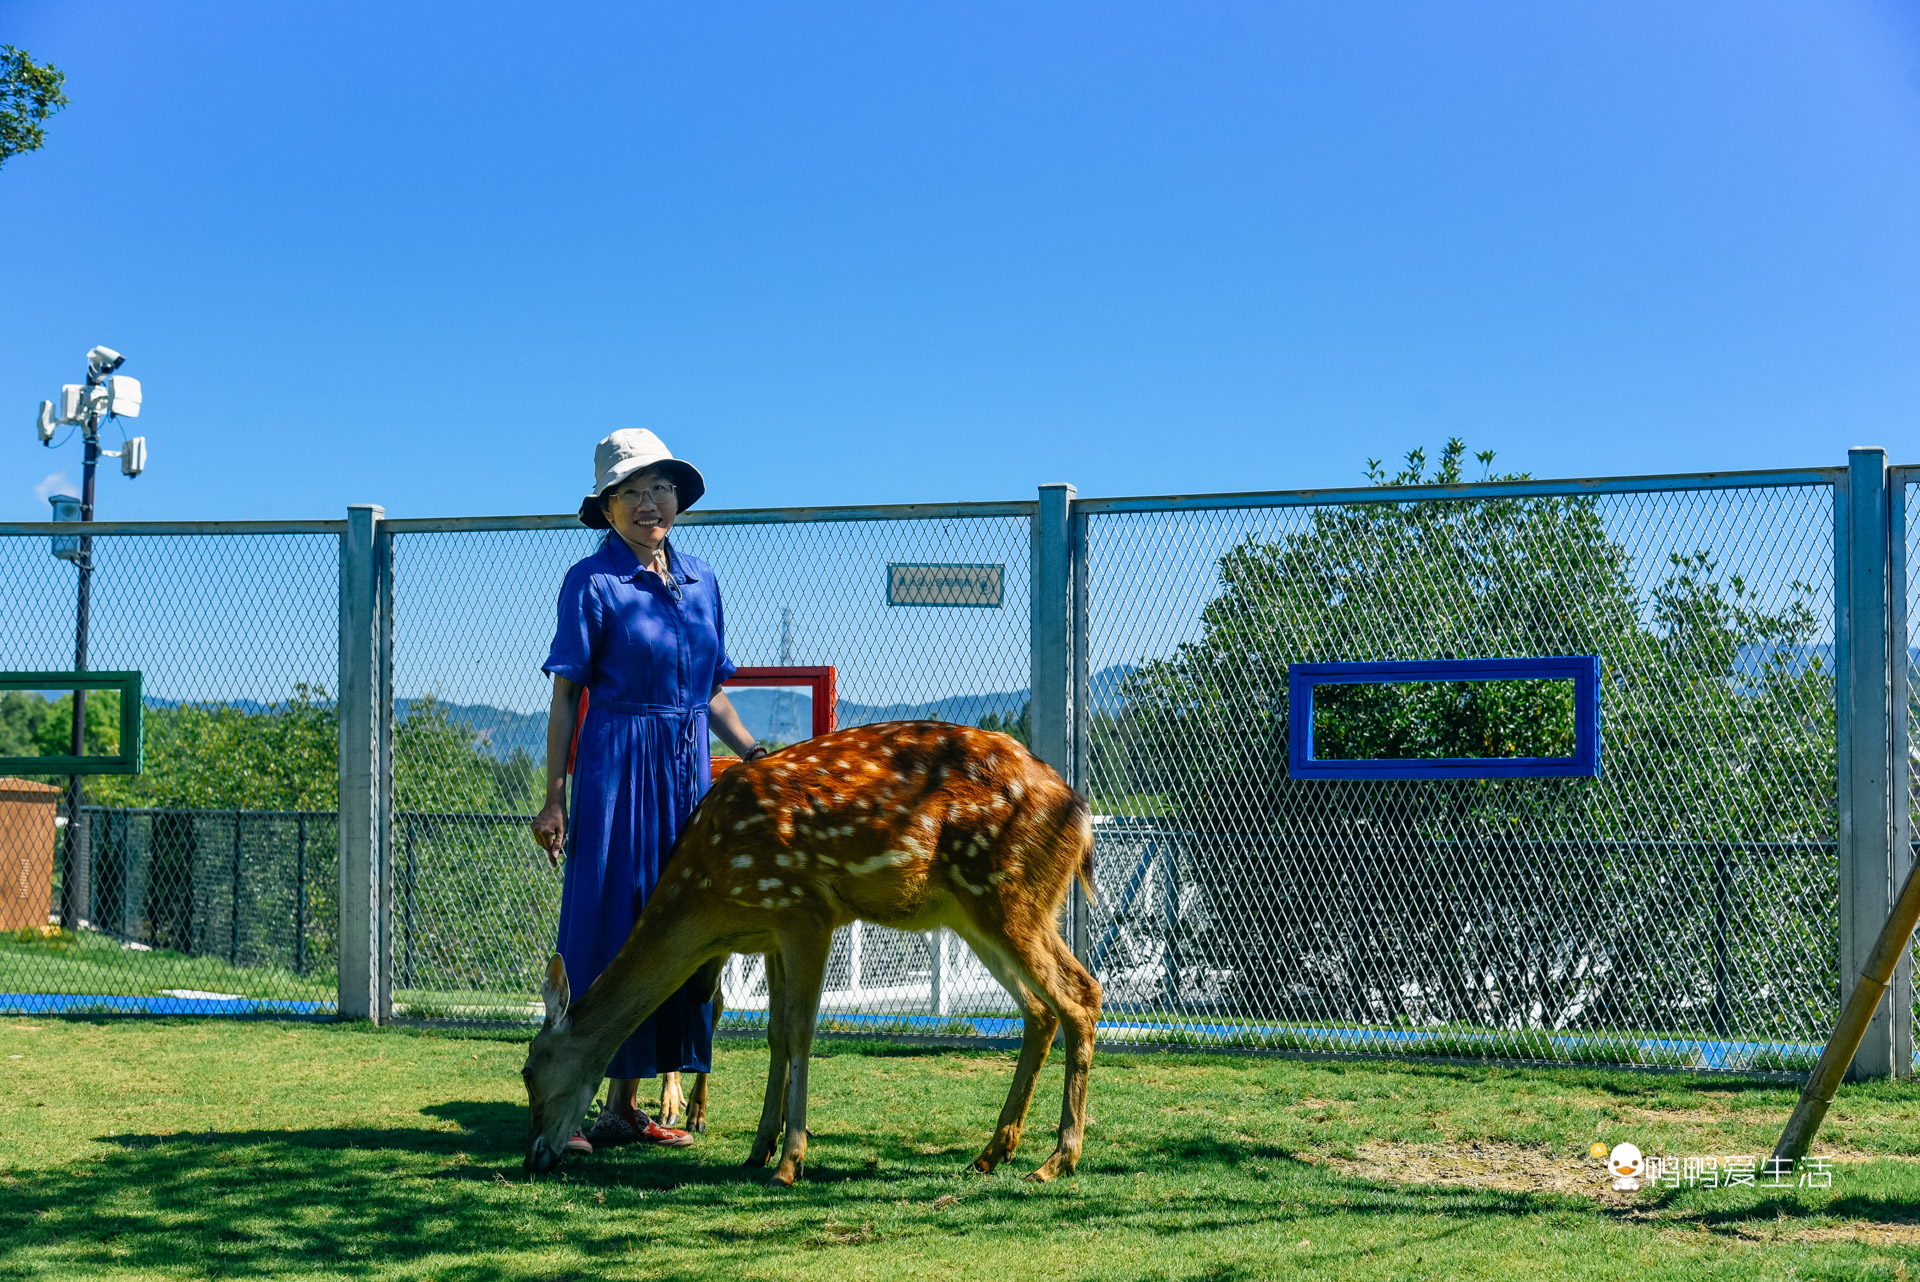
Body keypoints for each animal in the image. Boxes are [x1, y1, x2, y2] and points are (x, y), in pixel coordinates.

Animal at [518, 717, 1105, 1189]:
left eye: (528, 1073)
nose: (533, 1158)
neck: (709, 889)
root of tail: (1081, 816)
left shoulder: (804, 909)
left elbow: (801, 1032)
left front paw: (789, 1163)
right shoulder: (773, 929)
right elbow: (777, 1033)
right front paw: (758, 1150)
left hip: (1007, 892)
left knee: (1081, 992)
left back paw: (1056, 1160)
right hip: (975, 910)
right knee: (1039, 1008)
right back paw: (991, 1153)